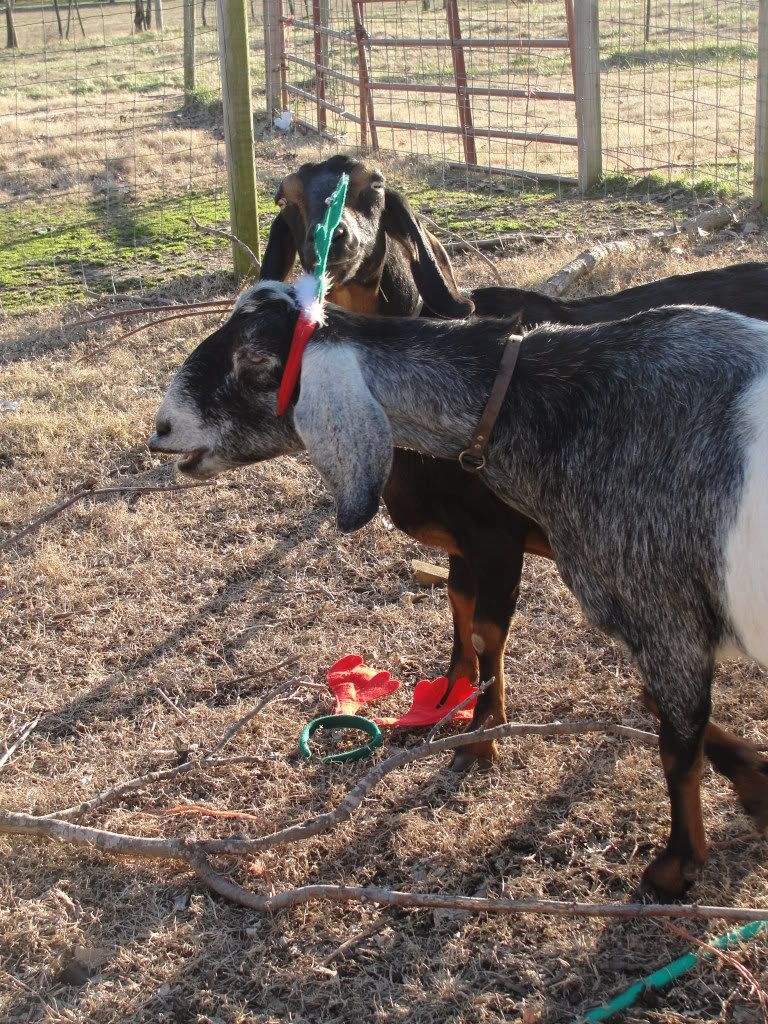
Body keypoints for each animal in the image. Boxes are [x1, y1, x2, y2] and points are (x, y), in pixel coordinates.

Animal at [150, 283, 768, 899]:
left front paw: (675, 866)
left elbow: (674, 745)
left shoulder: (657, 607)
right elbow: (470, 616)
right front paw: (755, 779)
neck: (554, 402)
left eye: (256, 360)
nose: (160, 431)